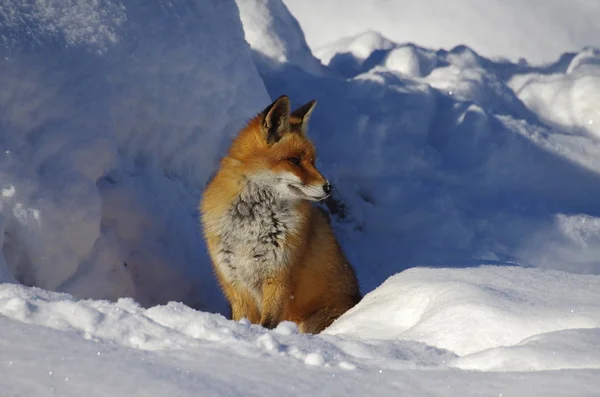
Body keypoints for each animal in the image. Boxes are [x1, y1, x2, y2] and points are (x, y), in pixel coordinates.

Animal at [200, 95, 360, 332]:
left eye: (313, 161)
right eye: (294, 161)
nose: (329, 187)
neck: (252, 223)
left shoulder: (279, 278)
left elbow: (267, 323)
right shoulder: (235, 282)